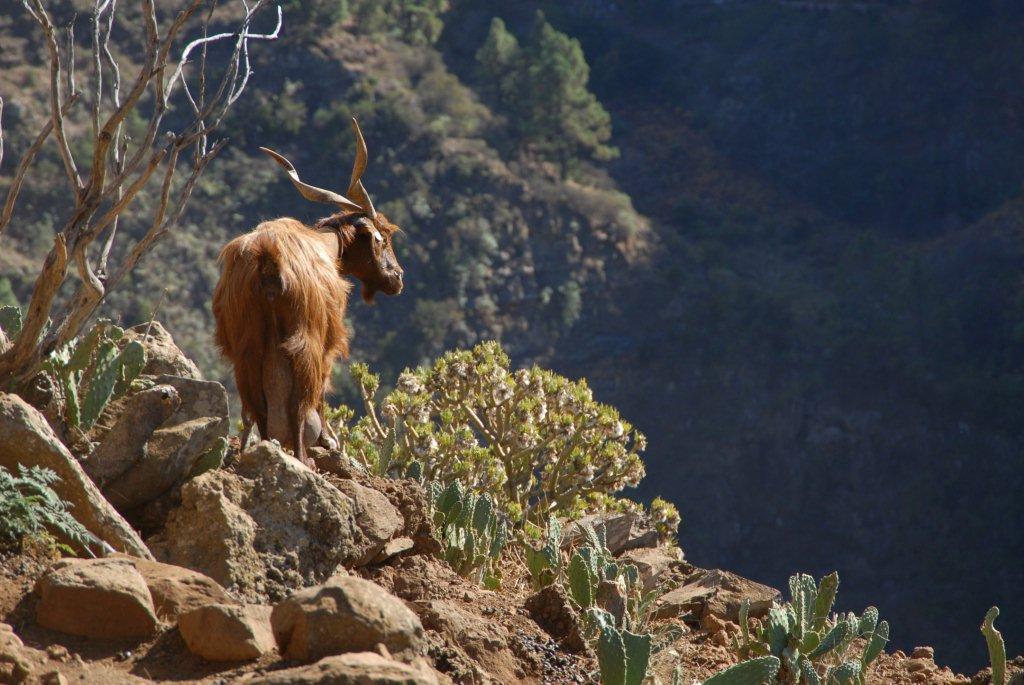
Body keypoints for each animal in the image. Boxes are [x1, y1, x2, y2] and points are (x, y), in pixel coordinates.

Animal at [212, 120, 403, 466]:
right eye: (383, 238)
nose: (397, 277)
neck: (328, 245)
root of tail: (269, 257)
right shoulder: (330, 334)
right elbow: (321, 391)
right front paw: (328, 440)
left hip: (247, 340)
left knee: (258, 402)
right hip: (305, 336)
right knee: (299, 402)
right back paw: (303, 457)